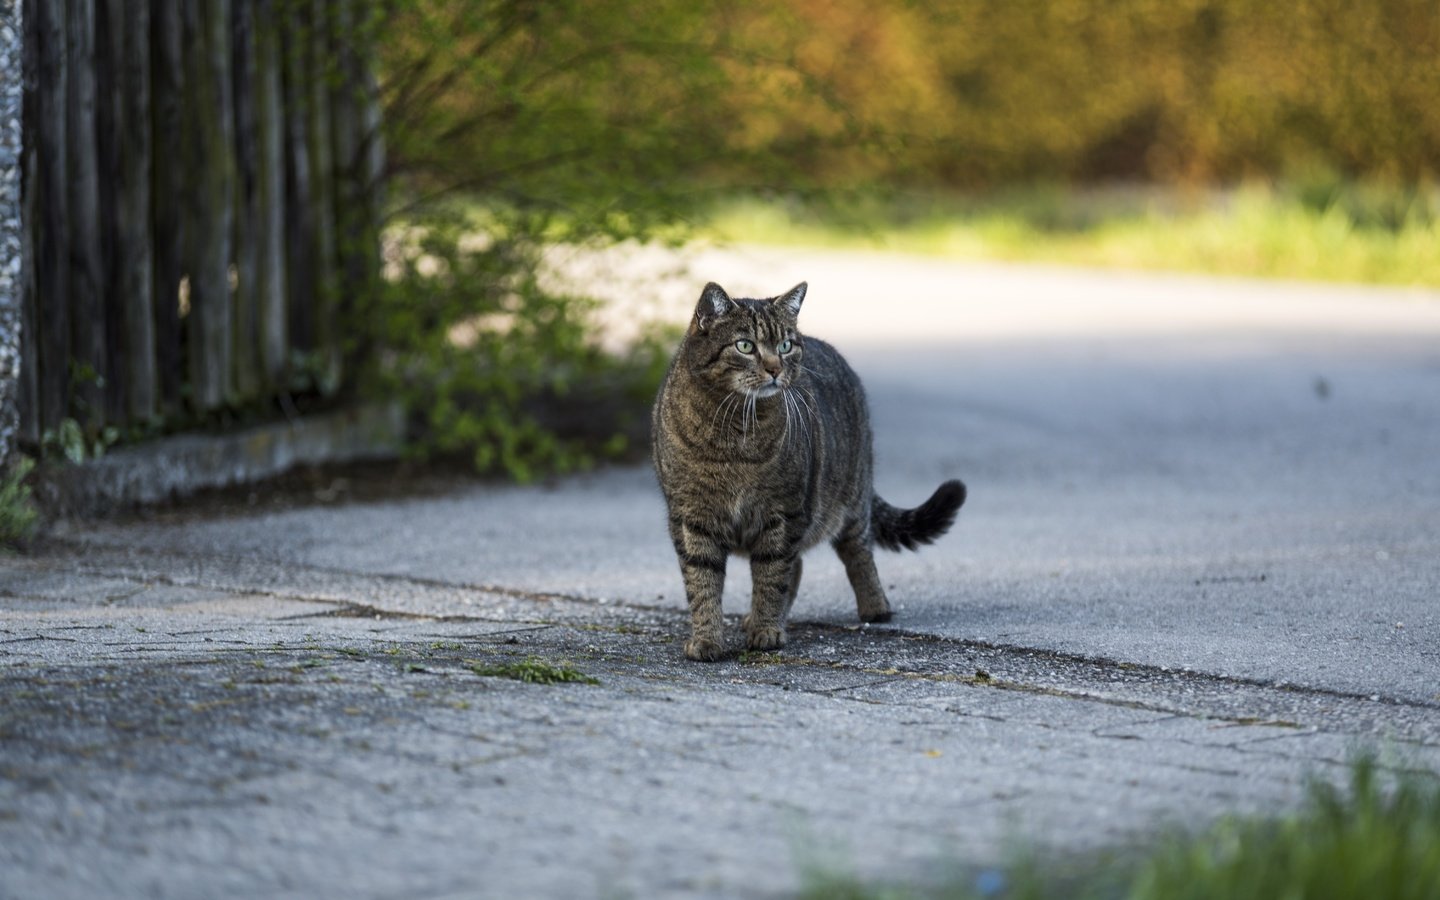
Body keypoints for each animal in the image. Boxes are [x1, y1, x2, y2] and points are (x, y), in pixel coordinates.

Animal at [653, 280, 967, 659]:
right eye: (745, 346)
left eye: (785, 346)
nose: (775, 368)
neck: (735, 432)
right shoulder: (691, 519)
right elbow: (701, 583)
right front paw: (707, 639)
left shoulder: (783, 513)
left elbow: (772, 576)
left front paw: (766, 630)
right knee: (799, 564)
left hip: (850, 501)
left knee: (857, 553)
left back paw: (875, 607)